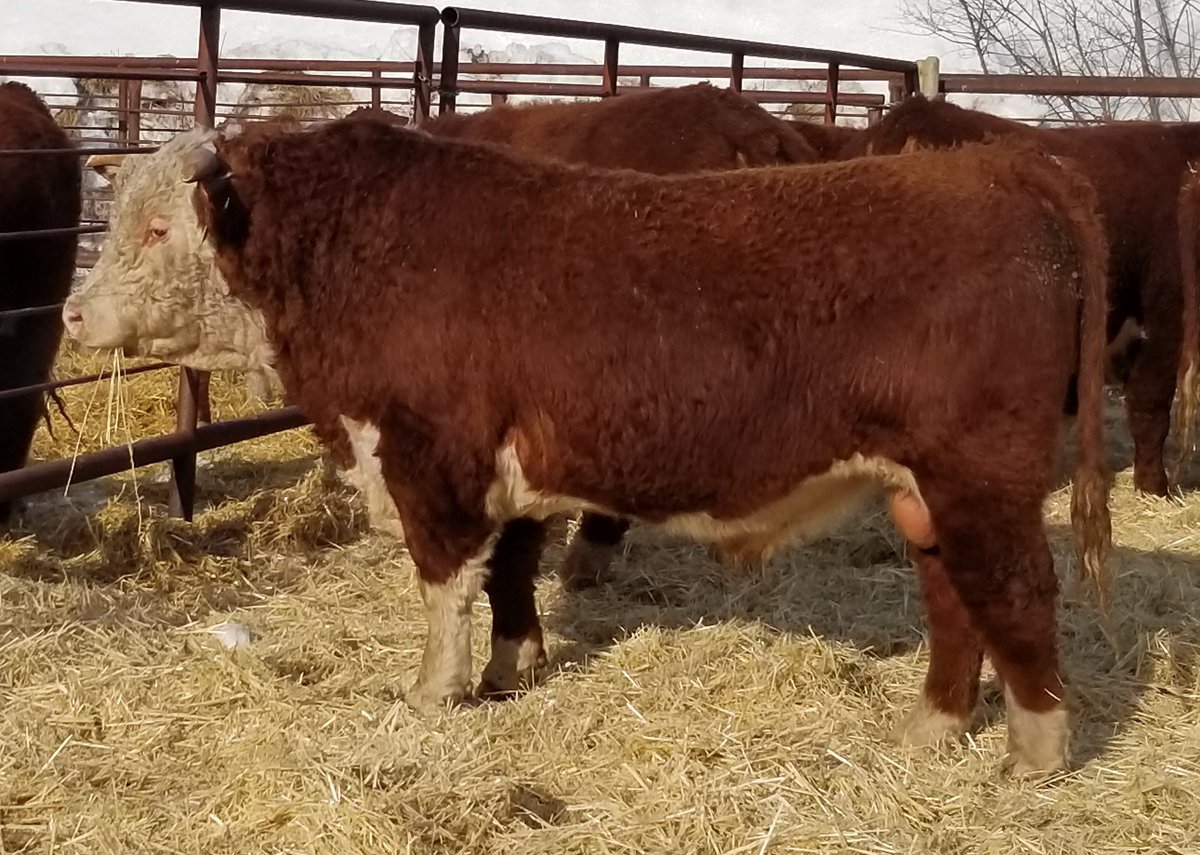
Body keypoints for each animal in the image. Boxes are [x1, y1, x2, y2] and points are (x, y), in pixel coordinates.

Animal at [182, 114, 1113, 776]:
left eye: (161, 229)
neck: (362, 240)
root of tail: (1002, 166)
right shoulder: (513, 464)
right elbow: (511, 567)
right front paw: (509, 670)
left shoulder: (432, 460)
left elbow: (447, 586)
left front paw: (430, 694)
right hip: (925, 486)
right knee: (954, 592)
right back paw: (930, 727)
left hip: (980, 474)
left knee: (1016, 590)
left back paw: (1033, 756)